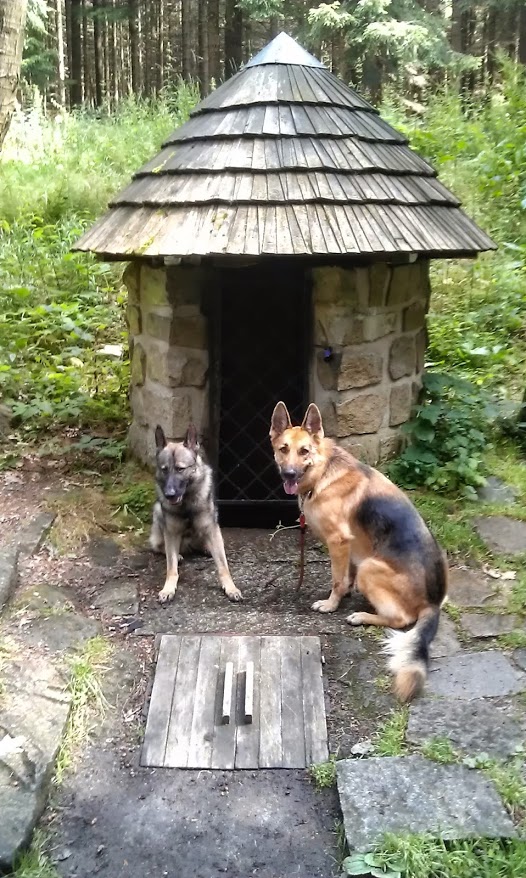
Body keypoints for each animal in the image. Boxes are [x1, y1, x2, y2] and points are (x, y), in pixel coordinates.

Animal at [150, 424, 242, 605]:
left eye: (180, 469)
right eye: (164, 470)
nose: (169, 494)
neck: (186, 503)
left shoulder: (212, 529)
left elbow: (223, 566)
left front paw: (230, 587)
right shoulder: (171, 533)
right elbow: (171, 568)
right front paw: (168, 588)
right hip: (158, 513)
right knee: (159, 547)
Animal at [269, 401, 447, 701]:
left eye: (304, 451)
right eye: (284, 449)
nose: (289, 474)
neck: (323, 472)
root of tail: (432, 603)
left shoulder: (338, 541)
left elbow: (337, 579)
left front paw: (331, 604)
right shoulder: (351, 548)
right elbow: (345, 577)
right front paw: (343, 595)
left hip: (370, 568)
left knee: (401, 619)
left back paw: (362, 616)